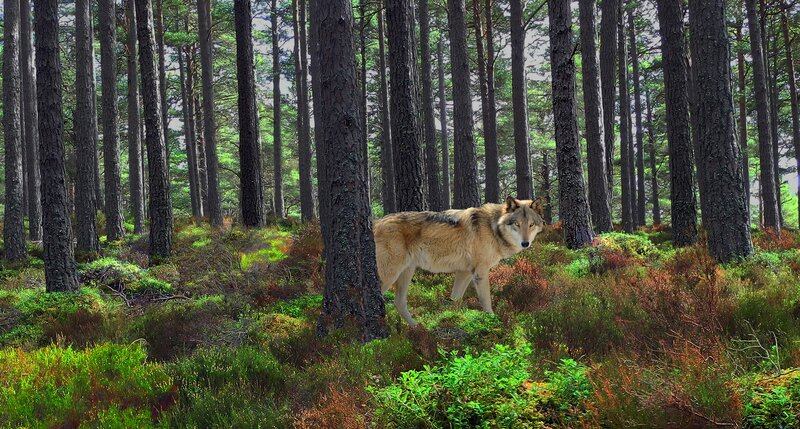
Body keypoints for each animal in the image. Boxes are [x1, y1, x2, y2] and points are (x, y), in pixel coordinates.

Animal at [373, 196, 545, 326]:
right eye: (517, 224)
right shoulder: (480, 273)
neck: (492, 227)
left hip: (407, 272)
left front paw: (452, 320)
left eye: (531, 225)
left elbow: (455, 300)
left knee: (399, 303)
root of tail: (375, 222)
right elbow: (486, 302)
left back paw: (416, 329)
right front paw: (493, 322)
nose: (525, 243)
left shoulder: (464, 273)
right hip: (389, 276)